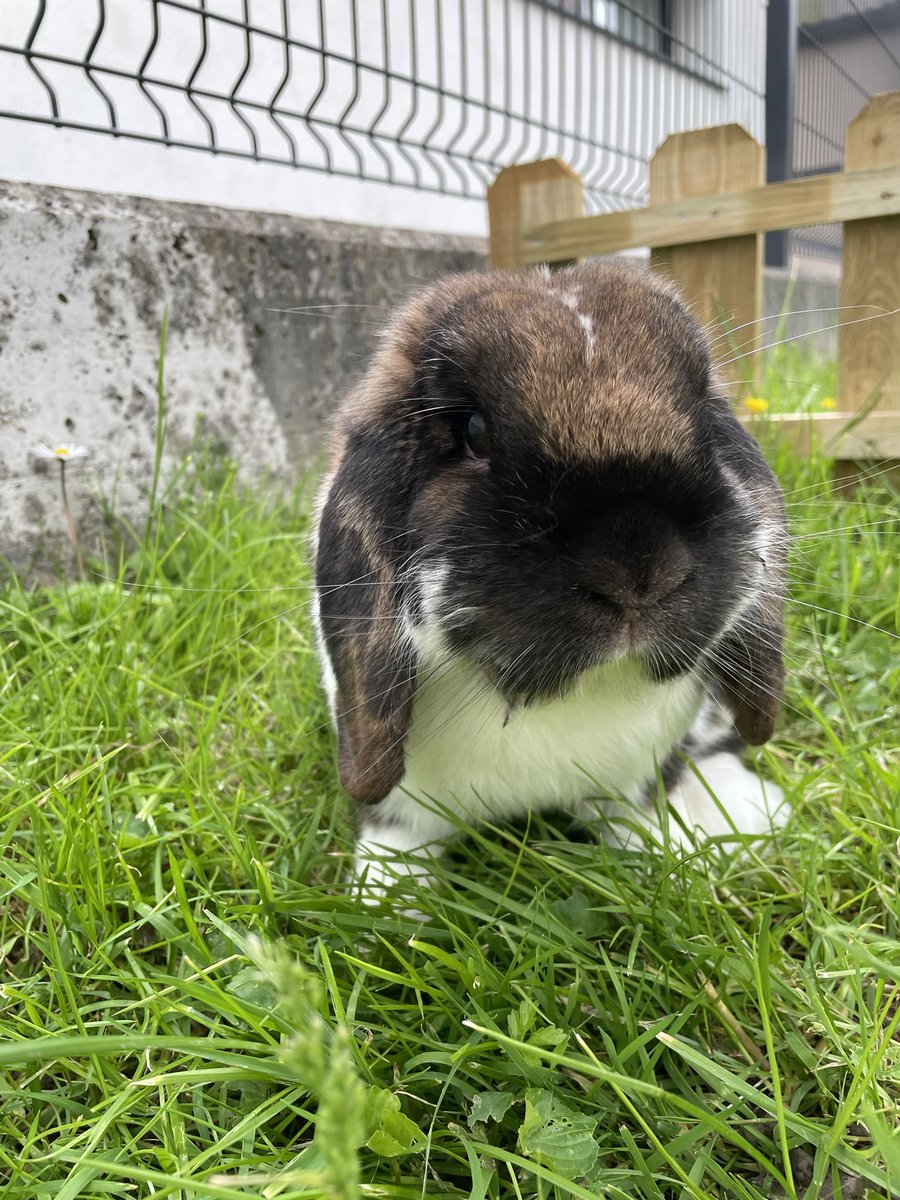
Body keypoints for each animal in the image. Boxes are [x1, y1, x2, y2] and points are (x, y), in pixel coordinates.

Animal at [311, 261, 788, 890]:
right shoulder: (404, 806)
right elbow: (393, 852)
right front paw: (381, 904)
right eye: (474, 431)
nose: (640, 573)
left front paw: (670, 863)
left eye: (707, 414)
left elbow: (639, 816)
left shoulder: (633, 780)